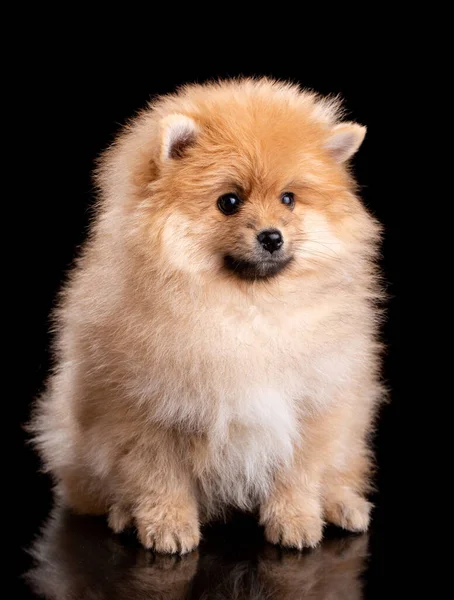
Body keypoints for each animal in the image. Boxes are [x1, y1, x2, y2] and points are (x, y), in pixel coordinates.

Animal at [32, 78, 384, 552]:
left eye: (289, 199)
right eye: (229, 202)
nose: (272, 236)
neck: (246, 311)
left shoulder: (314, 404)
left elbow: (298, 474)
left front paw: (295, 521)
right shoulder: (147, 411)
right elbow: (158, 476)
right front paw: (167, 525)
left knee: (342, 471)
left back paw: (344, 506)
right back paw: (124, 514)